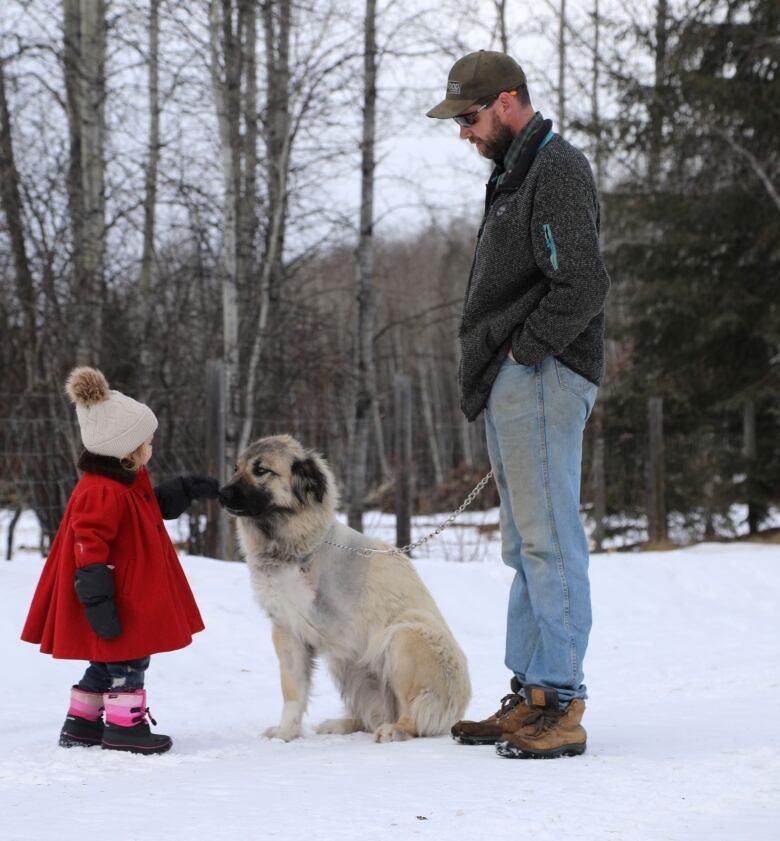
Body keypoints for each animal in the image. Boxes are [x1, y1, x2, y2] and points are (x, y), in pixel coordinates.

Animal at [218, 434, 470, 740]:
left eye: (261, 470)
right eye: (236, 468)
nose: (221, 493)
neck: (301, 549)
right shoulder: (288, 631)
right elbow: (292, 692)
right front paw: (286, 732)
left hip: (404, 635)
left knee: (413, 713)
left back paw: (395, 729)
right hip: (349, 665)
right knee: (371, 716)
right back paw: (342, 724)